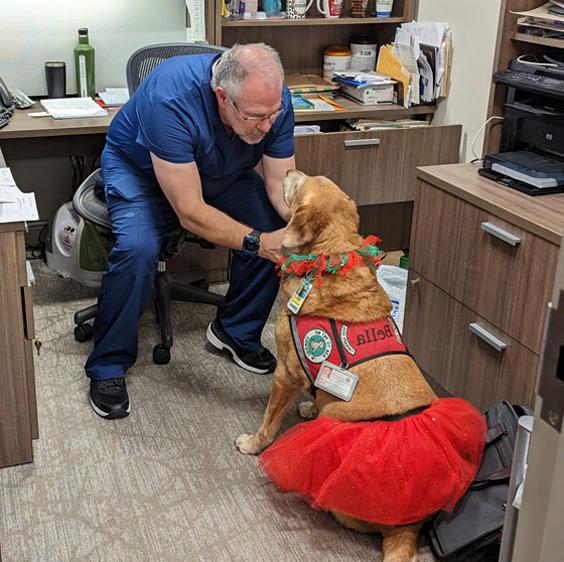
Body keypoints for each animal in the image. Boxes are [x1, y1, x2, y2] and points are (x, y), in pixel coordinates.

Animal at [236, 171, 486, 560]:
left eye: (301, 182)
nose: (288, 172)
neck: (330, 256)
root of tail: (408, 525)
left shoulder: (285, 374)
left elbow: (269, 422)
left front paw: (253, 444)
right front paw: (310, 407)